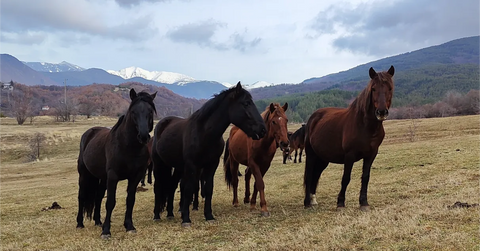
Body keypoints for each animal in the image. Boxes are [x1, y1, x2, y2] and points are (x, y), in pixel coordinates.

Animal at [76, 89, 157, 238]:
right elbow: (110, 202)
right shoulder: (113, 176)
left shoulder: (135, 176)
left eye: (150, 111)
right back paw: (80, 224)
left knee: (98, 197)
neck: (127, 146)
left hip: (102, 178)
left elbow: (130, 200)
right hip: (84, 175)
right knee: (81, 196)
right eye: (133, 112)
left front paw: (129, 226)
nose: (143, 136)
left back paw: (98, 221)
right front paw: (106, 231)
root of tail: (89, 133)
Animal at [152, 82, 266, 227]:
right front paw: (186, 219)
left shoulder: (212, 164)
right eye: (246, 103)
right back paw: (156, 215)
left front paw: (209, 216)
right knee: (158, 187)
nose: (262, 129)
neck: (204, 133)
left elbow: (208, 189)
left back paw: (170, 214)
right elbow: (188, 189)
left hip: (177, 167)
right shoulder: (192, 166)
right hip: (158, 164)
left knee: (171, 187)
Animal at [304, 65, 394, 211]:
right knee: (309, 175)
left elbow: (365, 177)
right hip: (311, 155)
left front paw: (364, 203)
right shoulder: (349, 155)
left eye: (390, 88)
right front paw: (340, 203)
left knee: (316, 175)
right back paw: (307, 203)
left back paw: (313, 200)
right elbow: (346, 178)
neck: (365, 126)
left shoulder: (371, 155)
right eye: (373, 88)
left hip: (323, 158)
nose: (381, 112)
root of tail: (313, 117)